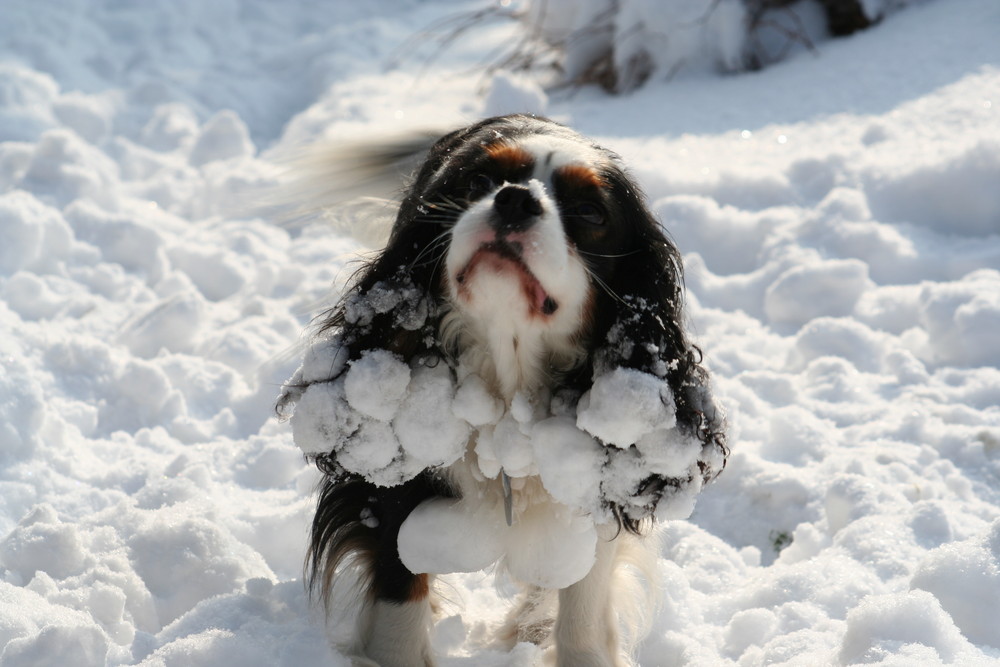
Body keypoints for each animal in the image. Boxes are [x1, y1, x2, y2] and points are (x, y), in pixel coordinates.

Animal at [282, 116, 728, 667]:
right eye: (478, 182)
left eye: (589, 211)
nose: (515, 200)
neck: (508, 379)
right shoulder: (390, 481)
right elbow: (398, 598)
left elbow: (583, 601)